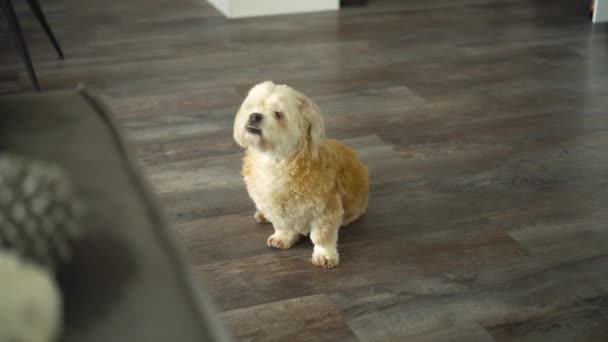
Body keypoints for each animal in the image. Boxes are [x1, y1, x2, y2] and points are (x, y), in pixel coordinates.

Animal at [234, 80, 370, 268]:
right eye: (251, 107)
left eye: (278, 114)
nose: (255, 116)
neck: (275, 160)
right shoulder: (274, 205)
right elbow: (283, 225)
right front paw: (283, 237)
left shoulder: (326, 208)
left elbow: (322, 235)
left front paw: (324, 254)